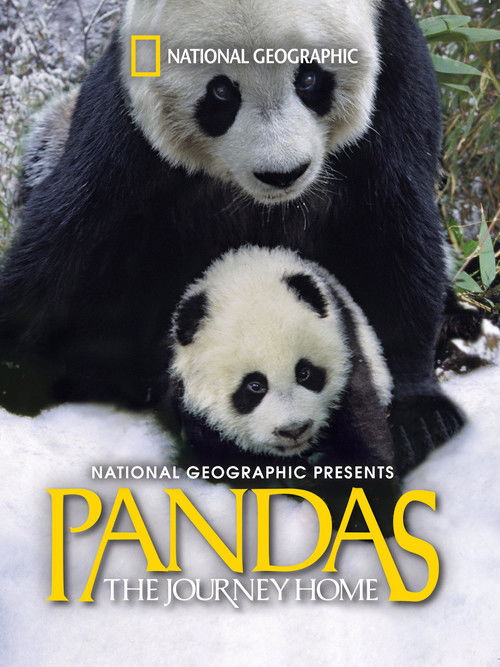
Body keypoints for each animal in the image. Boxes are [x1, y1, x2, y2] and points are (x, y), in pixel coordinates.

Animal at [0, 0, 464, 474]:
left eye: (309, 77)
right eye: (221, 91)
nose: (282, 173)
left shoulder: (395, 76)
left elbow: (394, 229)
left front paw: (420, 415)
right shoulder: (127, 112)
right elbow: (72, 232)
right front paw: (16, 371)